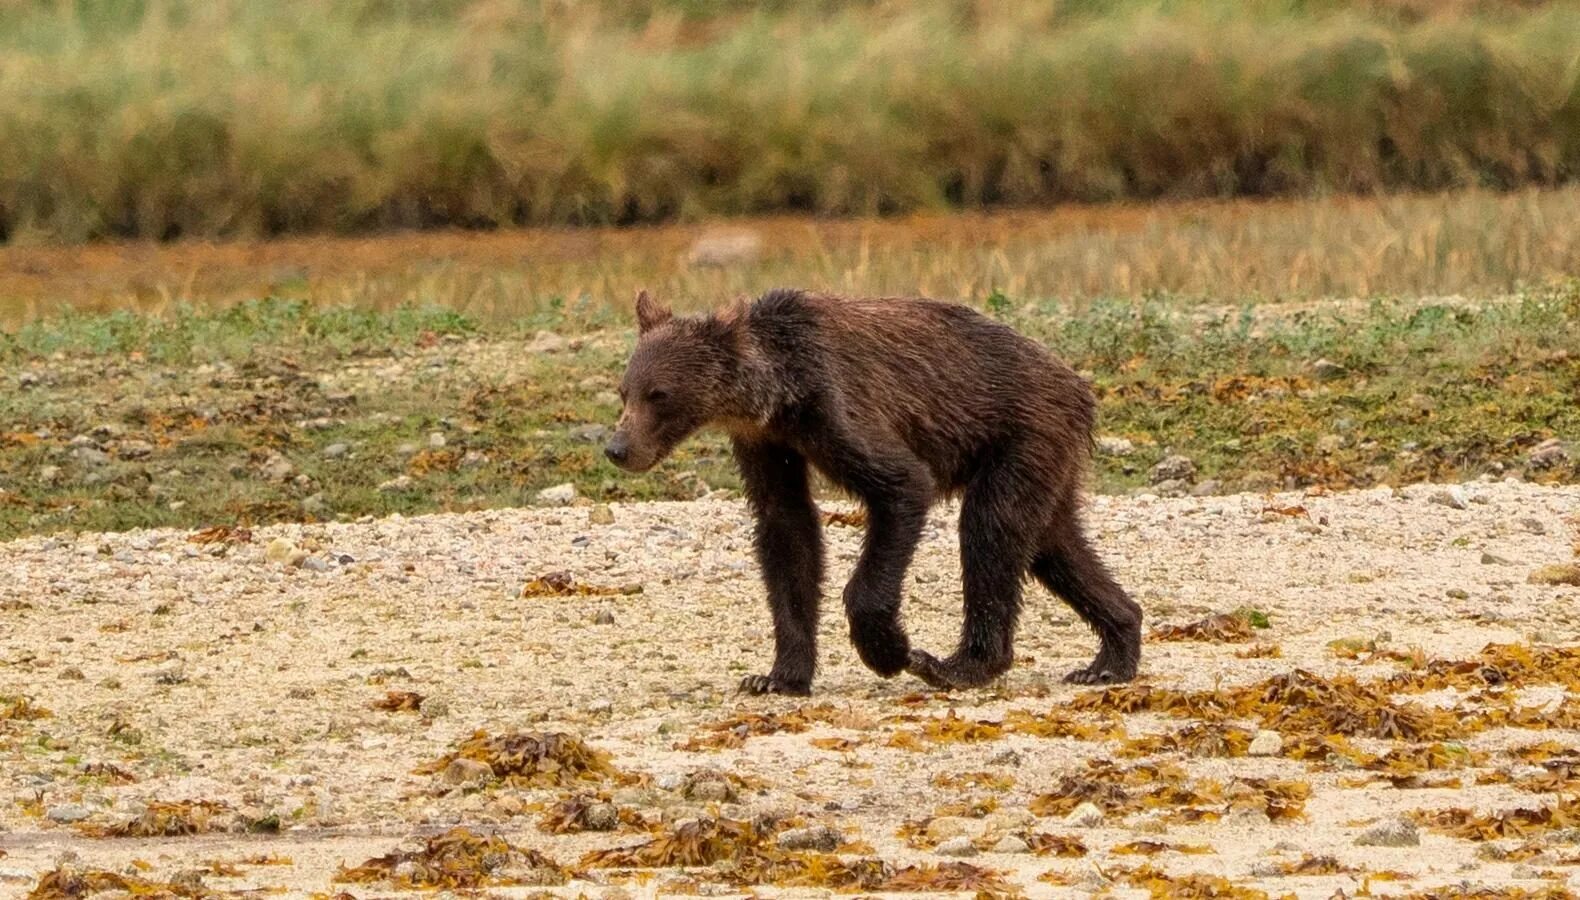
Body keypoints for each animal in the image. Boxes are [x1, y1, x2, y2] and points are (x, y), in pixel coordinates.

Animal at [606, 284, 1150, 691]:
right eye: (625, 390)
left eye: (659, 394)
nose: (617, 447)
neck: (778, 394)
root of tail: (1078, 385)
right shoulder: (765, 442)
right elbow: (787, 532)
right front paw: (777, 676)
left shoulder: (836, 406)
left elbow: (902, 485)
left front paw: (889, 649)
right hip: (1045, 456)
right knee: (1052, 543)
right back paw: (1111, 654)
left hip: (1022, 431)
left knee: (991, 528)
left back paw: (956, 665)